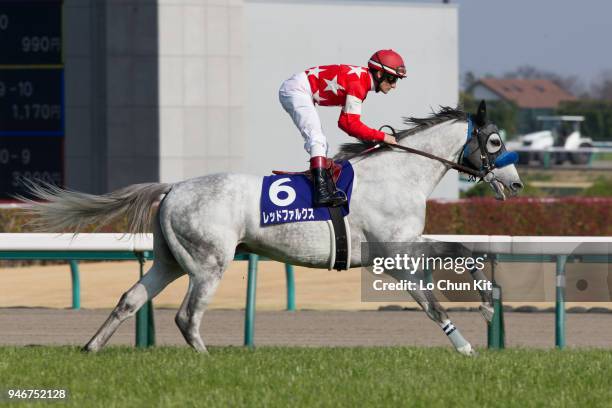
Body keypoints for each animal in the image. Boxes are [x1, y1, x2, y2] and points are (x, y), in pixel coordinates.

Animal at [23, 103, 520, 356]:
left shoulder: (405, 244)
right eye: (495, 141)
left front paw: (488, 307)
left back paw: (91, 348)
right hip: (208, 262)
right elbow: (431, 301)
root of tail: (173, 187)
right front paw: (466, 347)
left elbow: (463, 250)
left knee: (131, 299)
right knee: (187, 315)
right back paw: (207, 363)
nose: (515, 184)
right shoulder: (392, 254)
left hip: (169, 260)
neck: (397, 174)